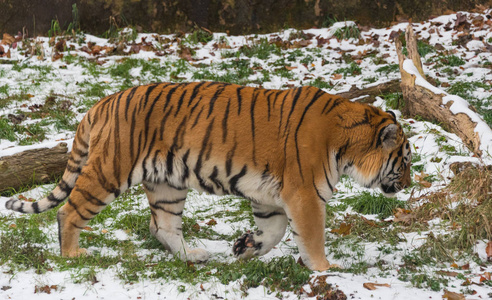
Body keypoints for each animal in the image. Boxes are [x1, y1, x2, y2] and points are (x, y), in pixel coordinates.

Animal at [5, 81, 412, 270]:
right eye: (405, 161)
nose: (408, 184)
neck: (347, 143)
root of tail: (101, 103)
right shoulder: (304, 195)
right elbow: (310, 237)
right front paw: (325, 269)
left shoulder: (271, 197)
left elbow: (275, 231)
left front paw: (246, 247)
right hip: (110, 171)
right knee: (69, 211)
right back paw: (73, 254)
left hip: (168, 184)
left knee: (162, 226)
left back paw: (194, 256)